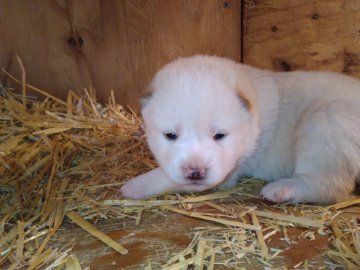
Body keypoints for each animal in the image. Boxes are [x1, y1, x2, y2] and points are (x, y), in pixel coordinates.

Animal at [121, 54, 360, 202]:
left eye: (220, 136)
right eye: (170, 135)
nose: (196, 172)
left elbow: (165, 176)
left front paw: (134, 186)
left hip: (323, 123)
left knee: (328, 184)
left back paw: (282, 189)